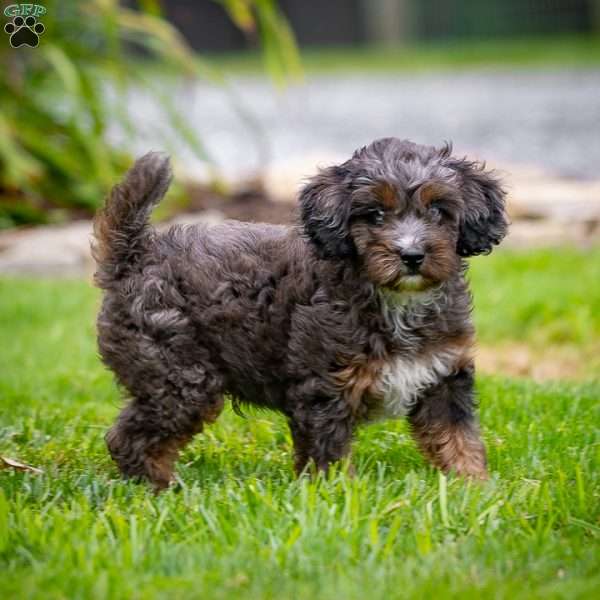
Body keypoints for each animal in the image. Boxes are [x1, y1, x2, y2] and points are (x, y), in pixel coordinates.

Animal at [92, 138, 506, 490]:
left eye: (438, 210)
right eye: (375, 214)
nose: (412, 256)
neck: (396, 301)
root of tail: (136, 256)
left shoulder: (444, 375)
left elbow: (459, 439)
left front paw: (475, 490)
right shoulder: (324, 386)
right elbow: (329, 453)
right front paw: (339, 497)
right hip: (179, 376)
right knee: (129, 437)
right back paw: (161, 488)